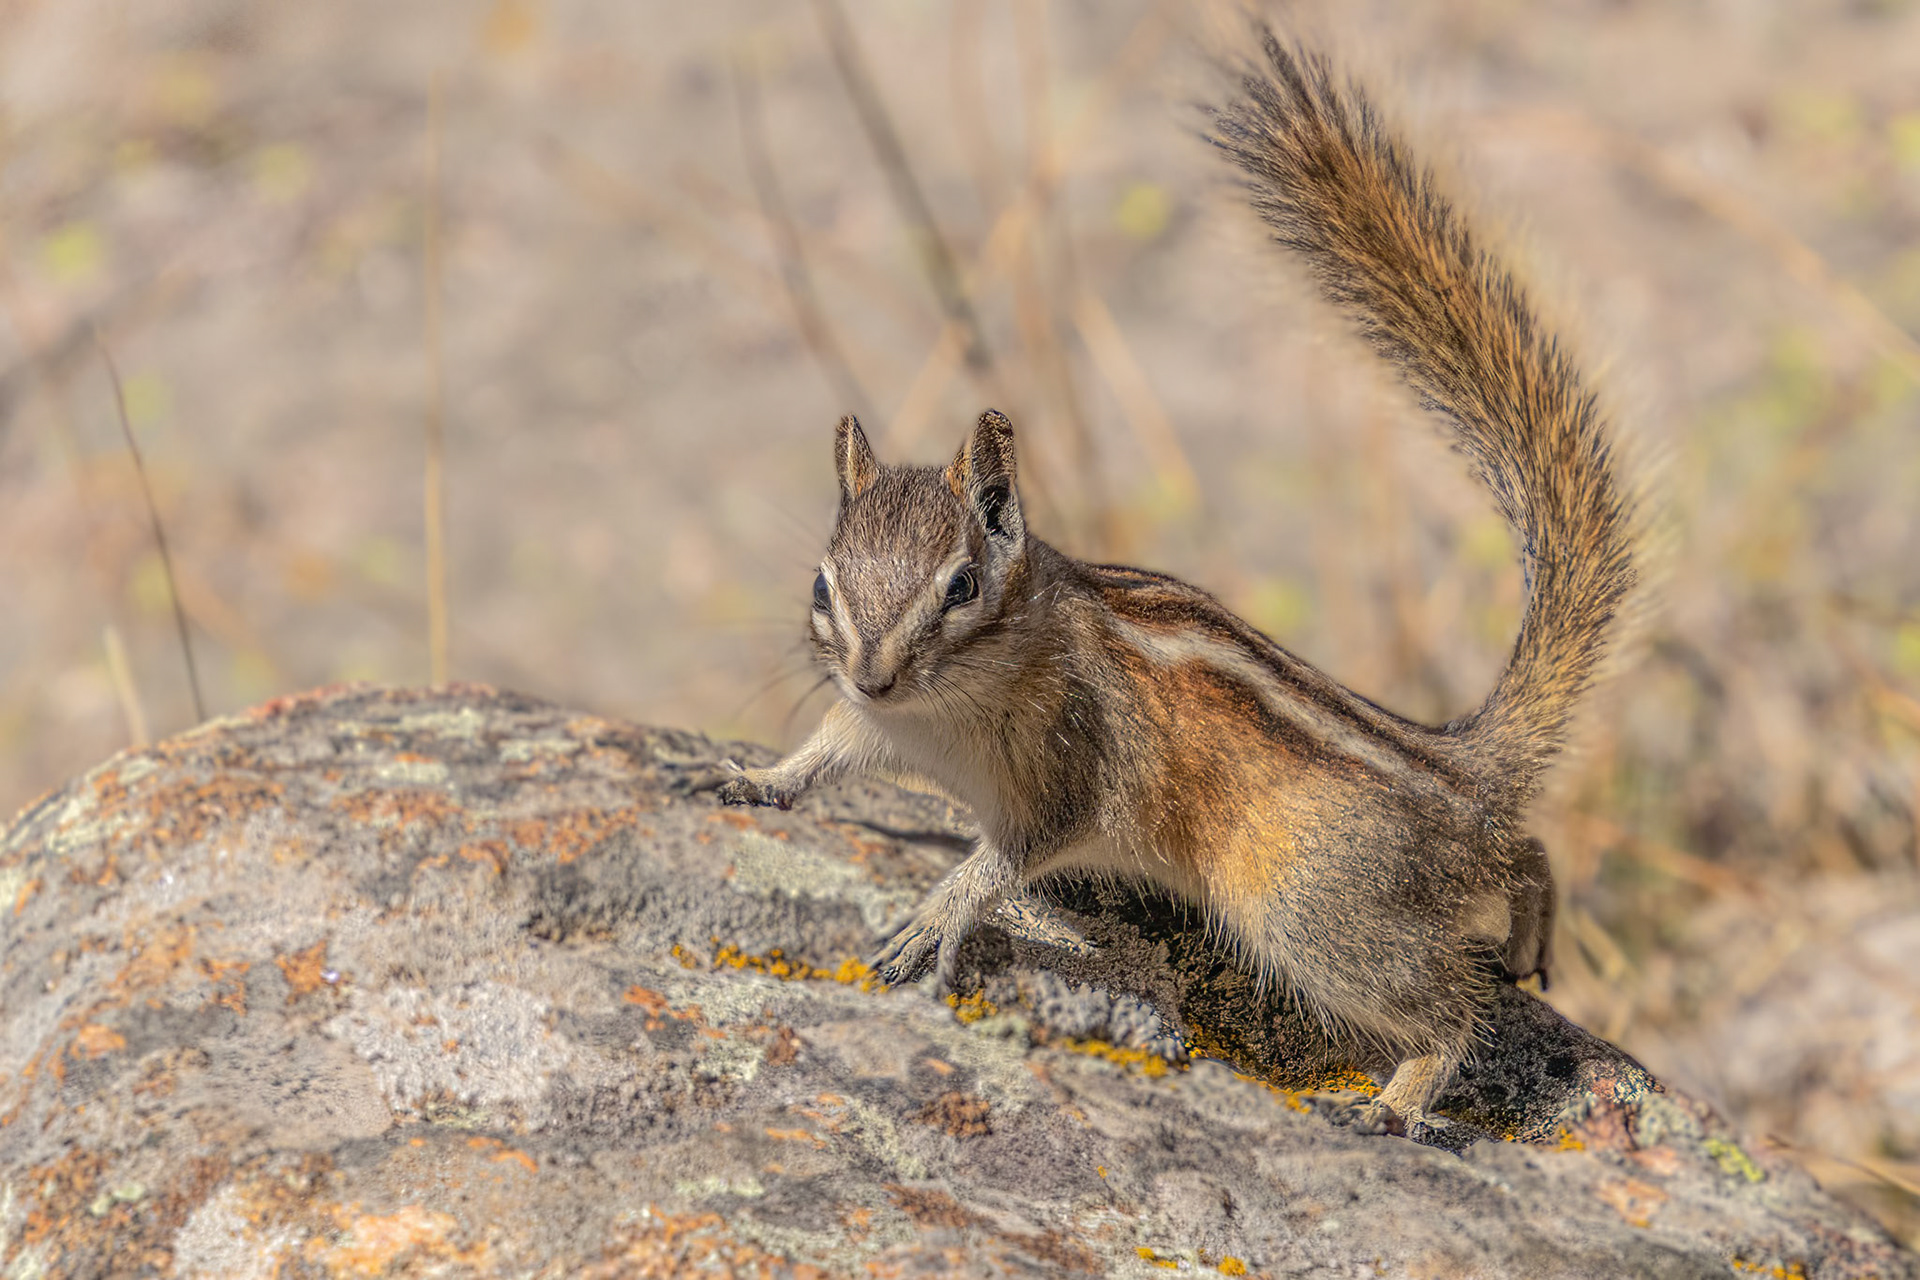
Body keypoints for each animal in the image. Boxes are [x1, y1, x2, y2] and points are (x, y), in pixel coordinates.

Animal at [716, 32, 1638, 1136]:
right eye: (823, 586)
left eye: (961, 586)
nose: (873, 675)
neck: (947, 706)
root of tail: (1465, 771)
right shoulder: (867, 725)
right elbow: (822, 749)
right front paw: (753, 778)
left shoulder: (1067, 774)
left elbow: (1003, 862)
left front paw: (934, 916)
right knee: (1526, 855)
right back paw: (1533, 934)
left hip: (1307, 907)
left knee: (1455, 1007)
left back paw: (1398, 1097)